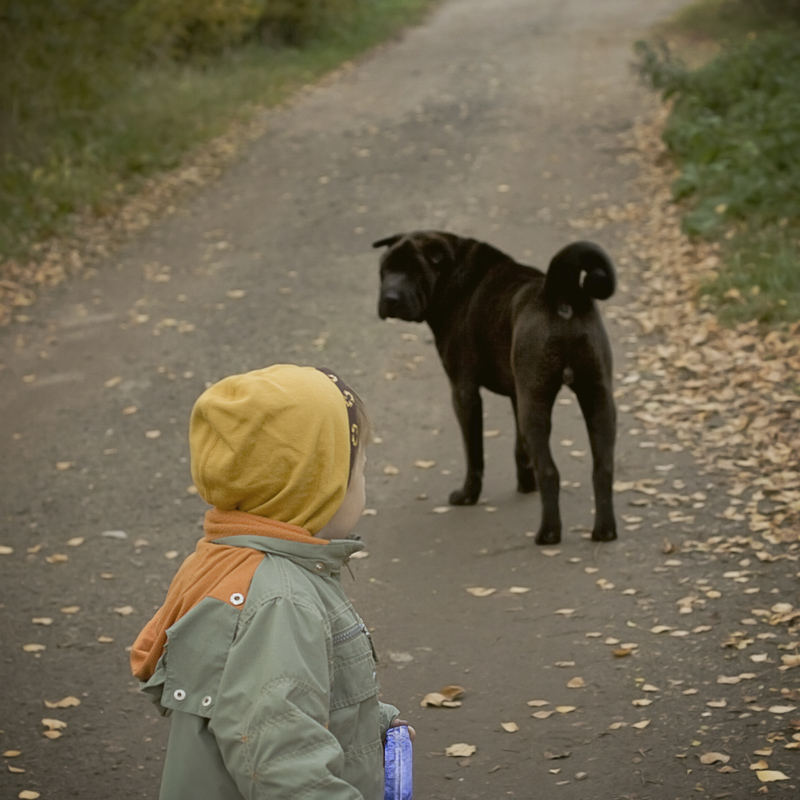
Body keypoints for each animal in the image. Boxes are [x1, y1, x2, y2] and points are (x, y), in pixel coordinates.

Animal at [376, 228, 620, 548]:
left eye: (414, 271)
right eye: (385, 269)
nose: (390, 297)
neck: (454, 273)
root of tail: (561, 293)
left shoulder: (464, 391)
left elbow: (474, 452)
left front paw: (467, 495)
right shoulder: (518, 393)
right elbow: (519, 446)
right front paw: (524, 483)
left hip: (536, 407)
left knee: (550, 471)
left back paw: (548, 533)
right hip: (597, 399)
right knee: (603, 468)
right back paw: (605, 530)